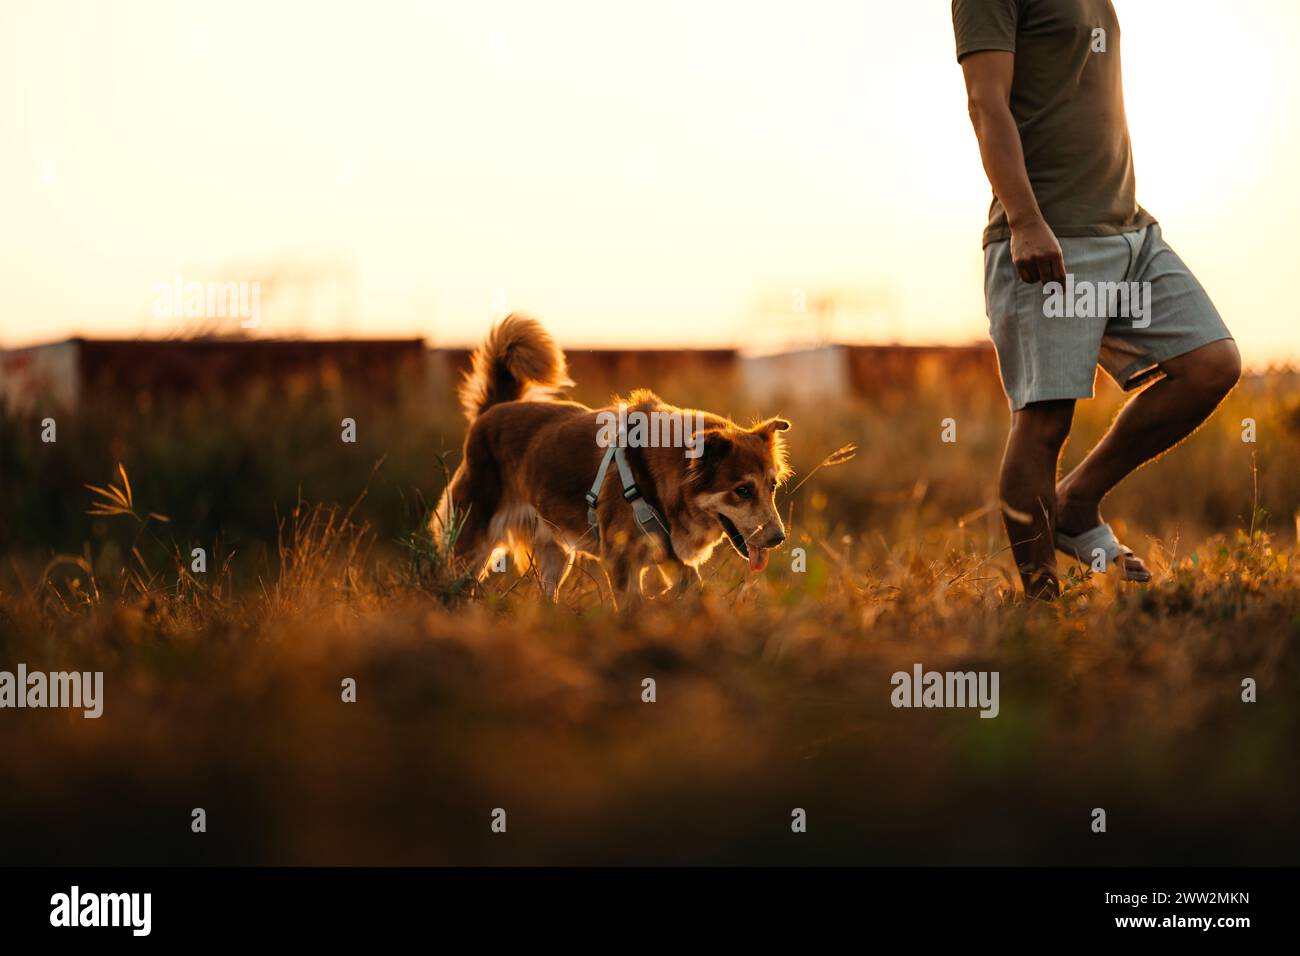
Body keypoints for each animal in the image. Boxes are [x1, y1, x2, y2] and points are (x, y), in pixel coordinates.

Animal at [436, 317, 790, 608]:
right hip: (472, 540)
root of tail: (493, 409)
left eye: (772, 486)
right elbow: (634, 604)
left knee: (546, 592)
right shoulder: (620, 561)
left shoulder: (669, 555)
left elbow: (691, 583)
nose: (778, 539)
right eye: (742, 490)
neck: (658, 477)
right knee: (453, 582)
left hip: (555, 553)